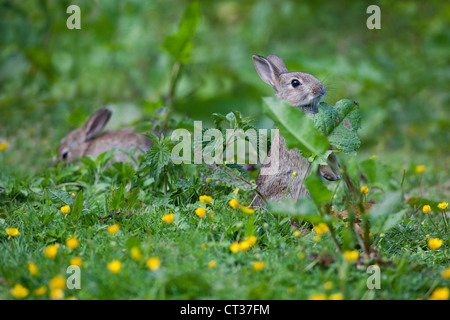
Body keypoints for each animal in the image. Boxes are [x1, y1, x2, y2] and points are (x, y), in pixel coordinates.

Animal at [251, 54, 340, 205]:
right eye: (295, 83)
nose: (321, 88)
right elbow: (322, 159)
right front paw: (329, 175)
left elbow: (332, 156)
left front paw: (337, 175)